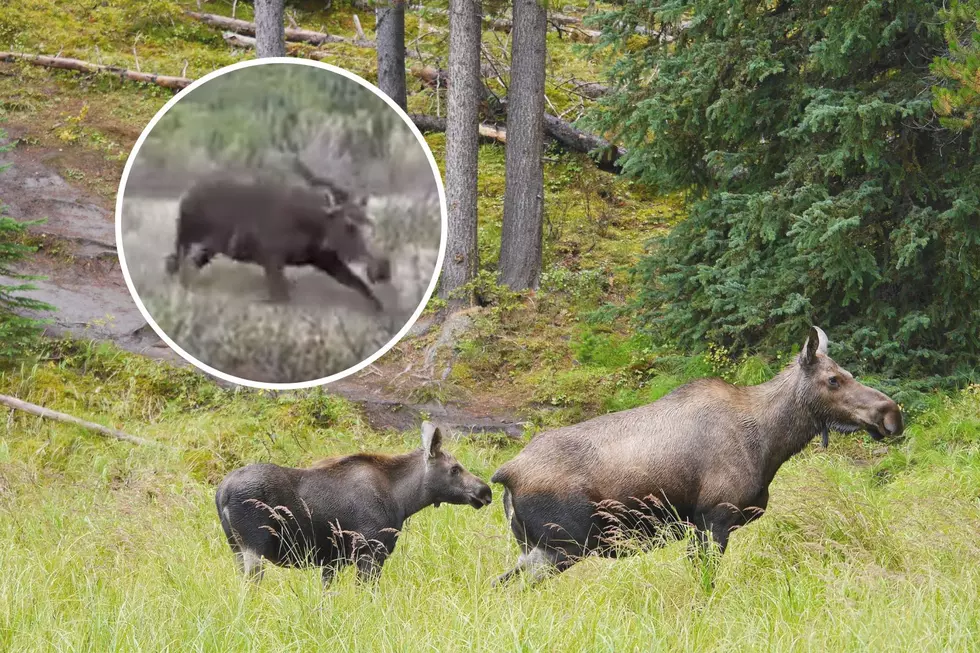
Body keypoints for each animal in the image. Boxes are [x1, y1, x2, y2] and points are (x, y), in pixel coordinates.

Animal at [214, 422, 490, 584]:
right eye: (455, 469)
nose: (485, 491)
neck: (403, 500)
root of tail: (221, 494)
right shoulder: (371, 551)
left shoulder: (331, 562)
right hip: (253, 549)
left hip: (236, 548)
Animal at [494, 328, 908, 584]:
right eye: (834, 380)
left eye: (846, 372)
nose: (891, 414)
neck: (770, 445)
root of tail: (506, 474)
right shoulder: (715, 518)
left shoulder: (698, 526)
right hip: (561, 547)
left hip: (539, 548)